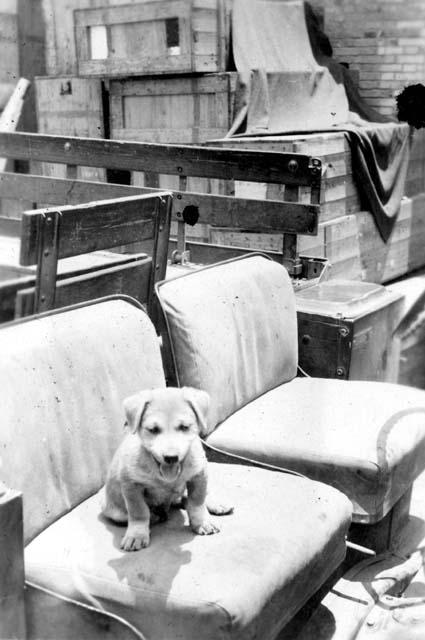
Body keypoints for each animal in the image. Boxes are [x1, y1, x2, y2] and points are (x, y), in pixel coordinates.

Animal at [101, 384, 234, 552]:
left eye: (184, 427)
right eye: (153, 430)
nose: (171, 458)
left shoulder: (199, 475)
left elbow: (197, 502)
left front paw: (202, 522)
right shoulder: (130, 486)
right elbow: (139, 512)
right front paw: (137, 535)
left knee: (191, 498)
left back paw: (216, 504)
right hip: (114, 511)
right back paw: (156, 516)